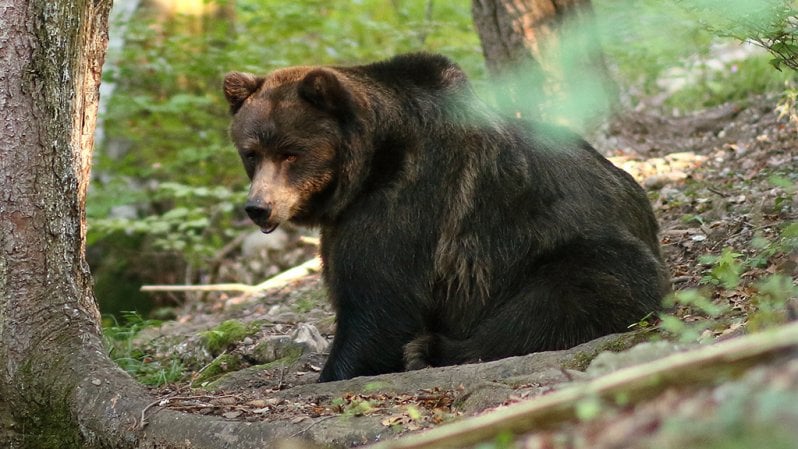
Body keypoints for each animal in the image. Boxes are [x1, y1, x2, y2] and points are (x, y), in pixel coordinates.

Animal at [222, 53, 672, 382]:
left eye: (290, 152)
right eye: (251, 153)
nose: (258, 207)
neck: (369, 168)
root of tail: (645, 212)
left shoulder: (406, 203)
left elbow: (378, 305)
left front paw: (337, 370)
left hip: (577, 249)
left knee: (560, 298)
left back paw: (430, 349)